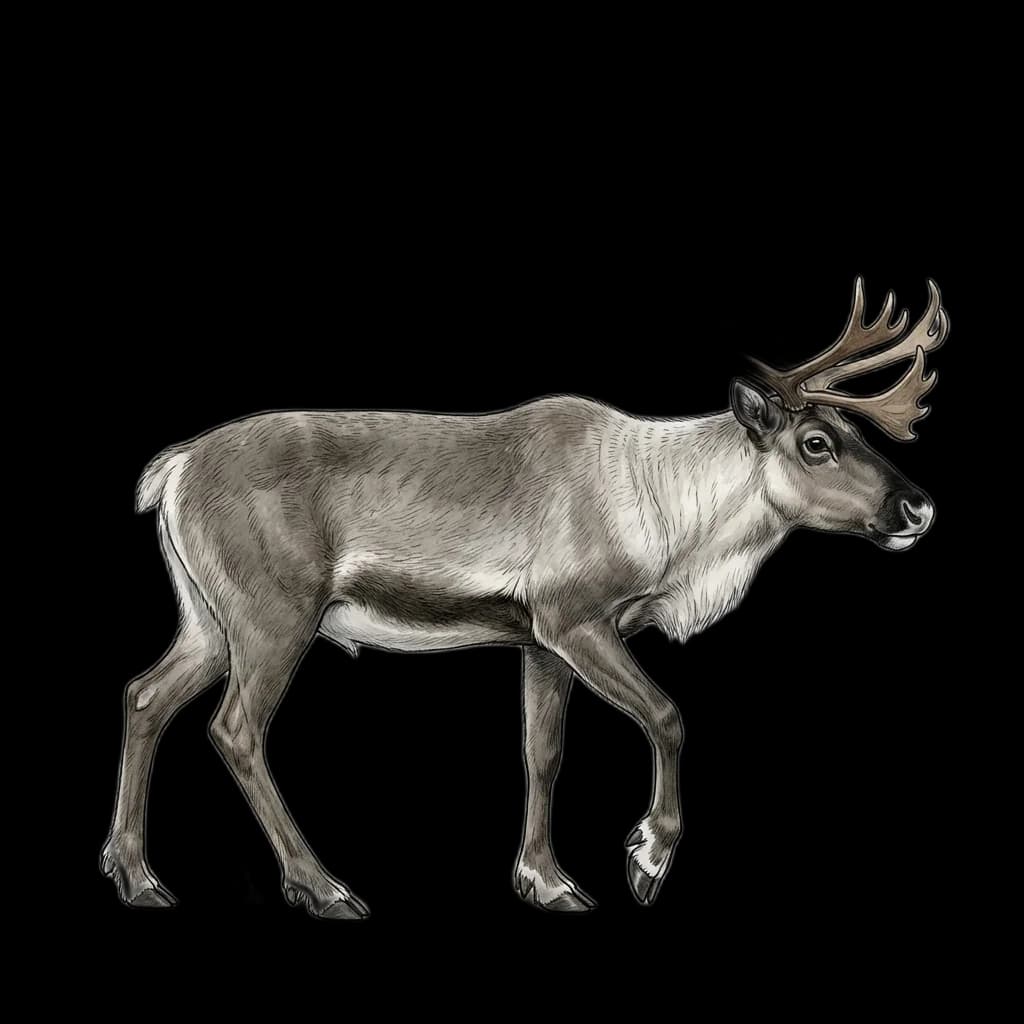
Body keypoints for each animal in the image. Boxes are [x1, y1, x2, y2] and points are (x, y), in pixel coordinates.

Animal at [102, 278, 947, 918]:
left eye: (856, 434)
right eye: (817, 442)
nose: (917, 509)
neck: (668, 517)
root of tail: (172, 470)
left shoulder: (536, 640)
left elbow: (542, 752)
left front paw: (547, 881)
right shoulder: (575, 617)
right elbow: (668, 716)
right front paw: (645, 860)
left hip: (207, 618)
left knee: (144, 695)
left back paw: (138, 878)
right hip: (273, 613)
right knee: (236, 728)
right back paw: (324, 888)